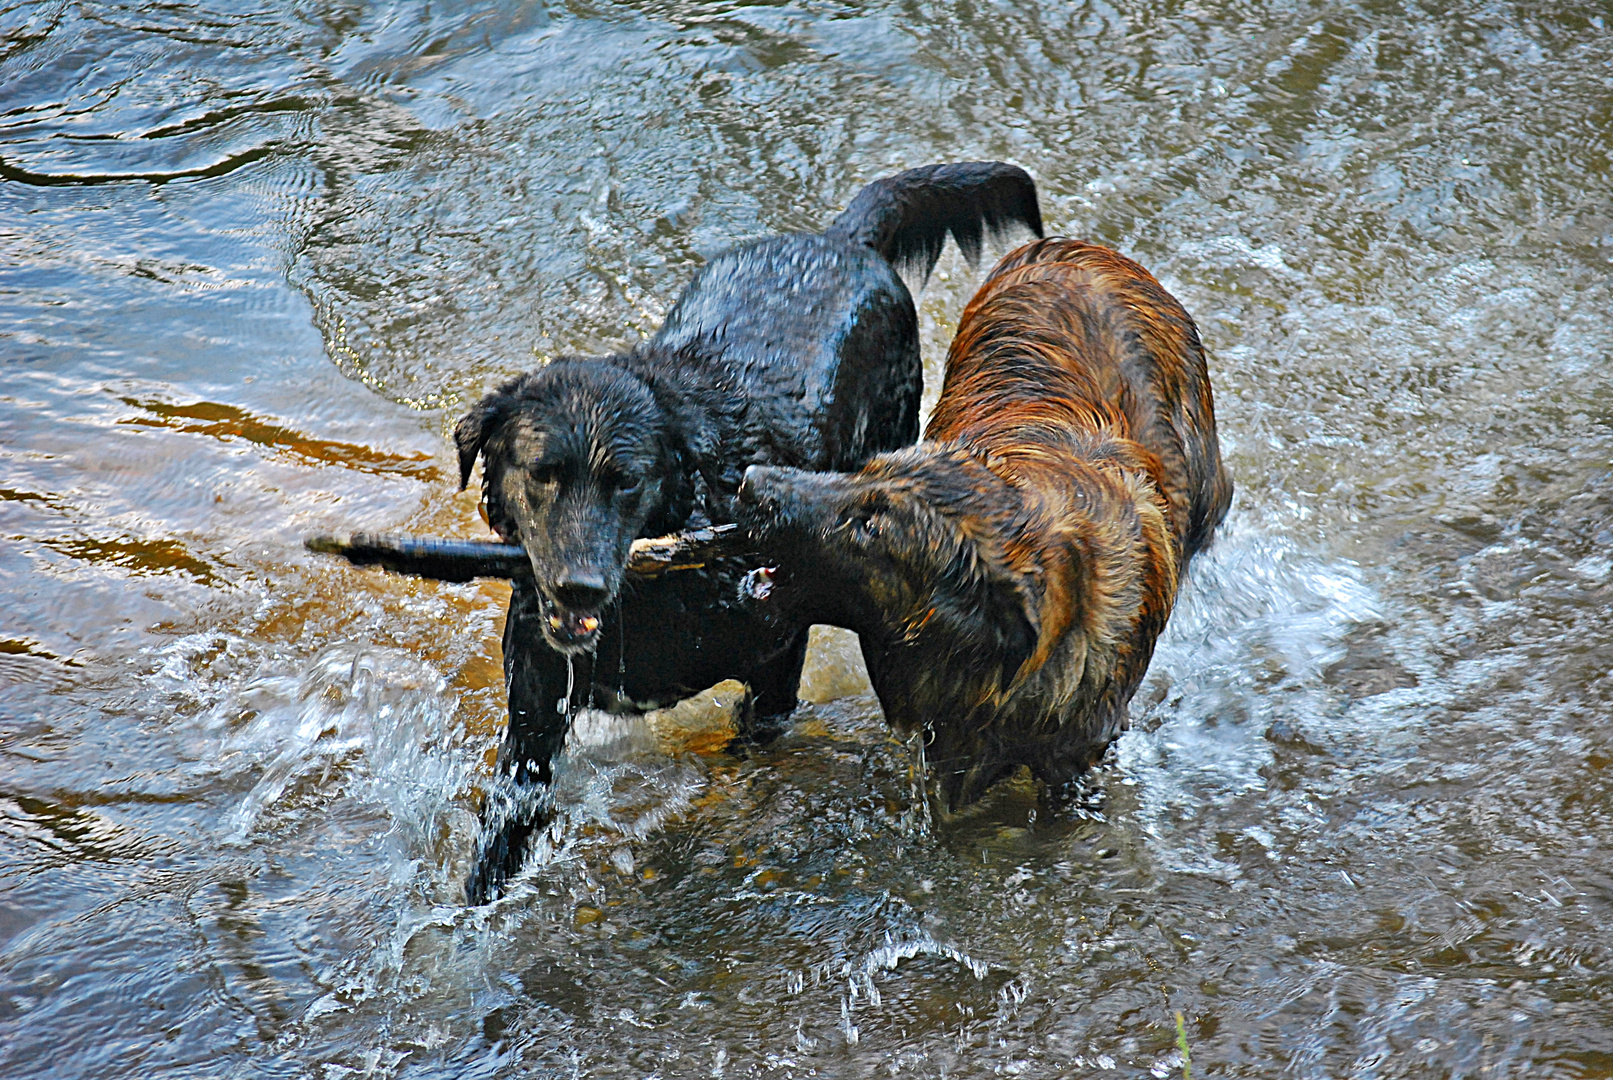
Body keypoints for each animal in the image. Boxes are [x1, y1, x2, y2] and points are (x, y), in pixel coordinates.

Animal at [454, 162, 1045, 902]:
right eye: (542, 473)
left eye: (626, 480)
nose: (578, 587)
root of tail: (837, 239)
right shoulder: (536, 698)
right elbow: (507, 821)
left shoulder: (777, 650)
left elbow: (755, 741)